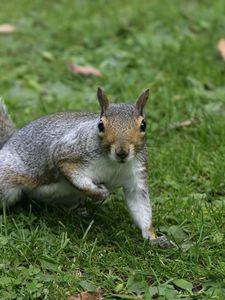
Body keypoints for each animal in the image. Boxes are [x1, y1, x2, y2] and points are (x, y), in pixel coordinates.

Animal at [0, 89, 171, 248]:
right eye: (100, 125)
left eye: (143, 125)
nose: (122, 152)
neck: (115, 164)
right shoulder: (66, 154)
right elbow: (77, 179)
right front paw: (100, 193)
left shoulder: (137, 175)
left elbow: (140, 207)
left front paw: (153, 238)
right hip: (8, 181)